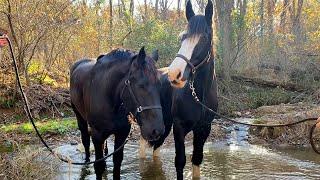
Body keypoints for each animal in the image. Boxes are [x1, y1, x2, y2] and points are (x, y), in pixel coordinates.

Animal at [70, 47, 165, 179]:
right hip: (80, 117)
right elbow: (99, 166)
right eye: (141, 85)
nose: (157, 130)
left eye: (160, 85)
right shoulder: (97, 135)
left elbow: (117, 162)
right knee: (85, 141)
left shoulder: (121, 134)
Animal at [142, 1, 218, 179]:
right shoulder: (179, 127)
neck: (200, 96)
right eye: (182, 37)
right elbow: (180, 161)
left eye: (204, 38)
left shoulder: (204, 128)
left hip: (165, 124)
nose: (174, 73)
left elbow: (196, 159)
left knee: (156, 149)